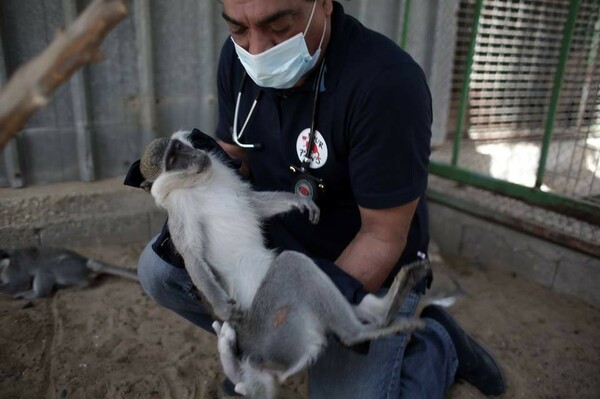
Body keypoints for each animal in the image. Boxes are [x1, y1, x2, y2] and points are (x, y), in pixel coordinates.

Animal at [0, 247, 138, 300]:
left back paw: (35, 294)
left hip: (69, 267)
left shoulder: (13, 269)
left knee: (46, 270)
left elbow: (21, 282)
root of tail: (83, 261)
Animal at [151, 130, 426, 396]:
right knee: (294, 265)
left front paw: (298, 201)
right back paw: (362, 330)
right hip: (275, 328)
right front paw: (220, 305)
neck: (202, 183)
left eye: (182, 148)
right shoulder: (180, 208)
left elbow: (252, 203)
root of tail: (257, 358)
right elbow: (191, 255)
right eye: (173, 159)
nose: (196, 156)